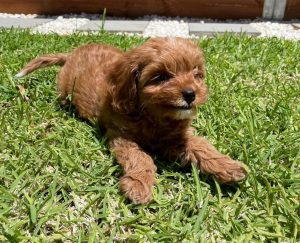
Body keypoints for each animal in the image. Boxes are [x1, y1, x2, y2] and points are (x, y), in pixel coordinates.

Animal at [17, 38, 246, 204]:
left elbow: (200, 146)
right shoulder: (122, 136)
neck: (153, 116)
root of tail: (72, 54)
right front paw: (139, 185)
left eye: (196, 75)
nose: (191, 94)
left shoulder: (177, 137)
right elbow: (140, 157)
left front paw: (228, 167)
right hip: (65, 89)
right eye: (161, 77)